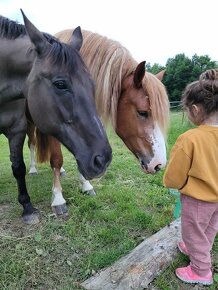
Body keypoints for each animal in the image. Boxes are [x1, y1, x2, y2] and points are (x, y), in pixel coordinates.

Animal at [0, 11, 111, 223]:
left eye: (92, 84)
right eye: (60, 84)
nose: (103, 159)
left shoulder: (16, 130)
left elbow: (18, 167)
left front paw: (27, 207)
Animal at [27, 29, 169, 214]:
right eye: (142, 112)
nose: (159, 164)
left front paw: (86, 185)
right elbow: (57, 159)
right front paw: (58, 198)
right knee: (31, 144)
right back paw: (32, 169)